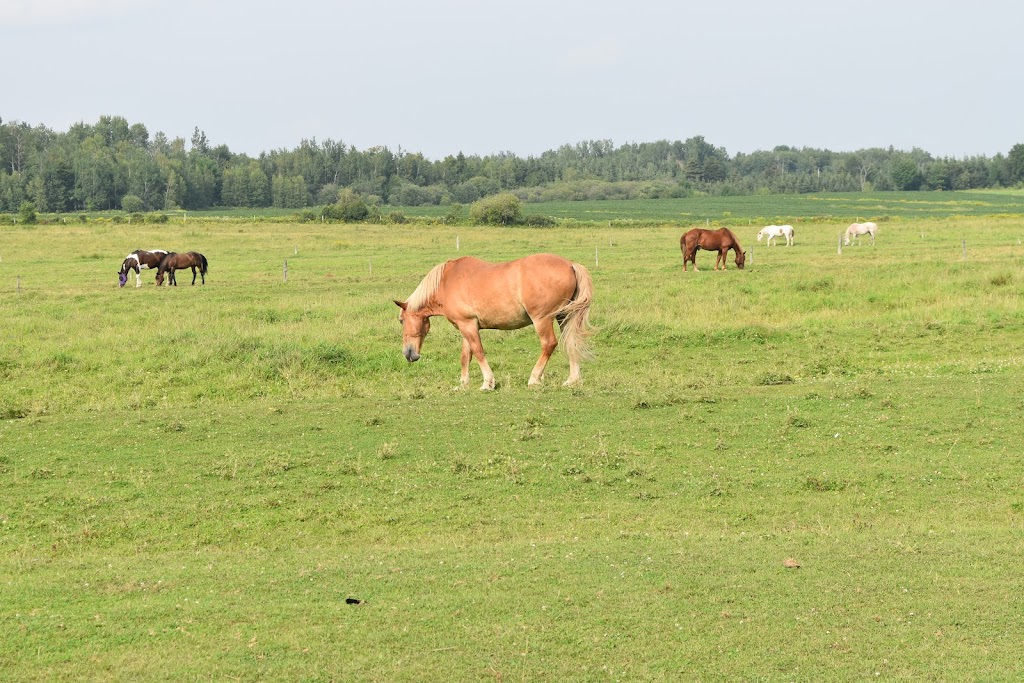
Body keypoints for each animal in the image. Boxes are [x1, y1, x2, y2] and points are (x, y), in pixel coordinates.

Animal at [395, 252, 598, 393]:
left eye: (401, 320)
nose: (409, 354)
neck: (446, 282)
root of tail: (571, 264)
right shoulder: (466, 326)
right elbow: (466, 356)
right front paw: (463, 384)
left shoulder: (468, 326)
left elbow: (478, 351)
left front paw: (488, 383)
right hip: (564, 317)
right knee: (570, 342)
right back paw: (572, 380)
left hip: (542, 319)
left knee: (549, 344)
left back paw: (534, 379)